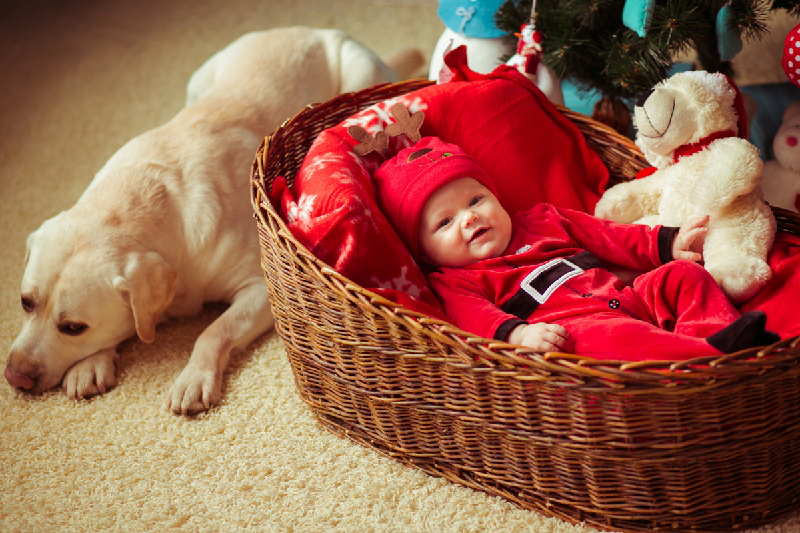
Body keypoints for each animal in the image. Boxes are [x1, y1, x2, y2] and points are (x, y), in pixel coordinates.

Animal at [6, 27, 424, 414]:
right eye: (25, 302)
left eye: (73, 327)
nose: (14, 376)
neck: (144, 205)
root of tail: (300, 29)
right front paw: (91, 364)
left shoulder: (259, 287)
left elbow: (213, 330)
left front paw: (194, 377)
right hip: (200, 79)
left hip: (358, 70)